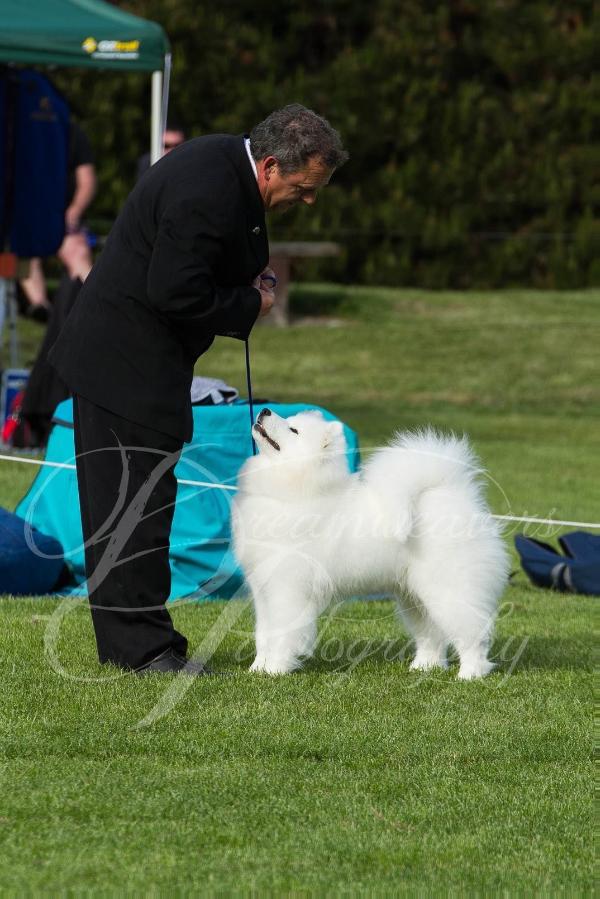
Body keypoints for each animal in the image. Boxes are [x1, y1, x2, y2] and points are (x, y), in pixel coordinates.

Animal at [232, 412, 508, 680]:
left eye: (293, 430)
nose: (264, 410)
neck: (295, 492)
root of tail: (454, 495)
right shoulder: (263, 591)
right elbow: (263, 634)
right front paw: (257, 669)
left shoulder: (287, 590)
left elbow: (282, 634)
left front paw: (276, 670)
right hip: (414, 597)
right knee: (432, 634)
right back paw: (424, 667)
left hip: (449, 590)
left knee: (472, 633)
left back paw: (470, 673)